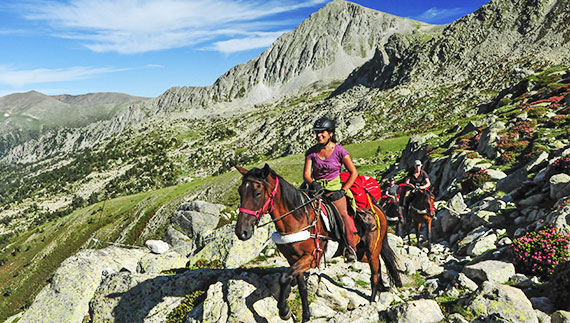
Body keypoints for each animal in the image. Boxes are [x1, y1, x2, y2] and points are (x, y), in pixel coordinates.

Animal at [233, 166, 402, 322]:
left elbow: (284, 277)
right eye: (240, 191)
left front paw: (284, 311)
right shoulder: (293, 259)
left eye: (257, 193)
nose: (241, 232)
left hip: (372, 248)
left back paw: (372, 301)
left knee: (374, 271)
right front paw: (305, 316)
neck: (297, 219)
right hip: (361, 252)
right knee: (377, 265)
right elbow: (301, 287)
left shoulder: (311, 257)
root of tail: (377, 209)